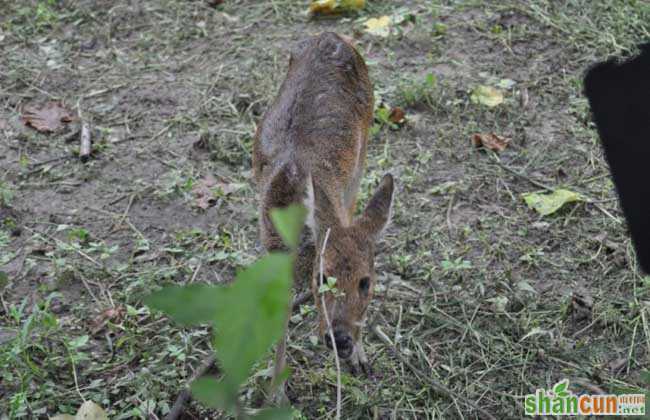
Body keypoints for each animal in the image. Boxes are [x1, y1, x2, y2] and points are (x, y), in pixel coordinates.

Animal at [252, 31, 394, 392]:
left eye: (366, 282)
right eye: (322, 278)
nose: (339, 339)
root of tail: (331, 35)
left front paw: (360, 354)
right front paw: (275, 390)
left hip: (364, 143)